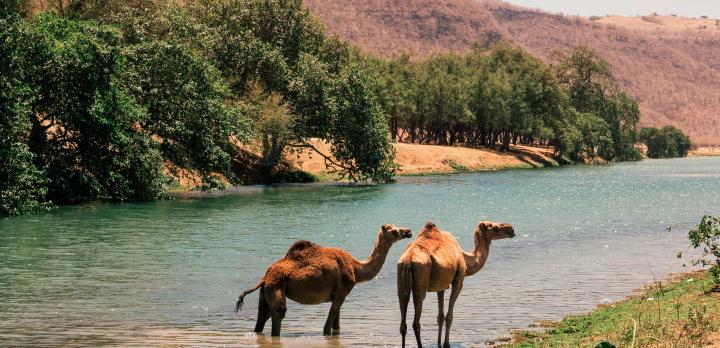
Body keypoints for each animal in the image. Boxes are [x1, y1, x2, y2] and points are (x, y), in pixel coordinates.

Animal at [235, 224, 410, 336]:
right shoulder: (342, 293)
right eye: (394, 231)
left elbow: (336, 326)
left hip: (265, 292)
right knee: (278, 312)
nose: (408, 231)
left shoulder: (339, 295)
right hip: (276, 286)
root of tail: (265, 277)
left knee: (261, 318)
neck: (356, 268)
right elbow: (327, 328)